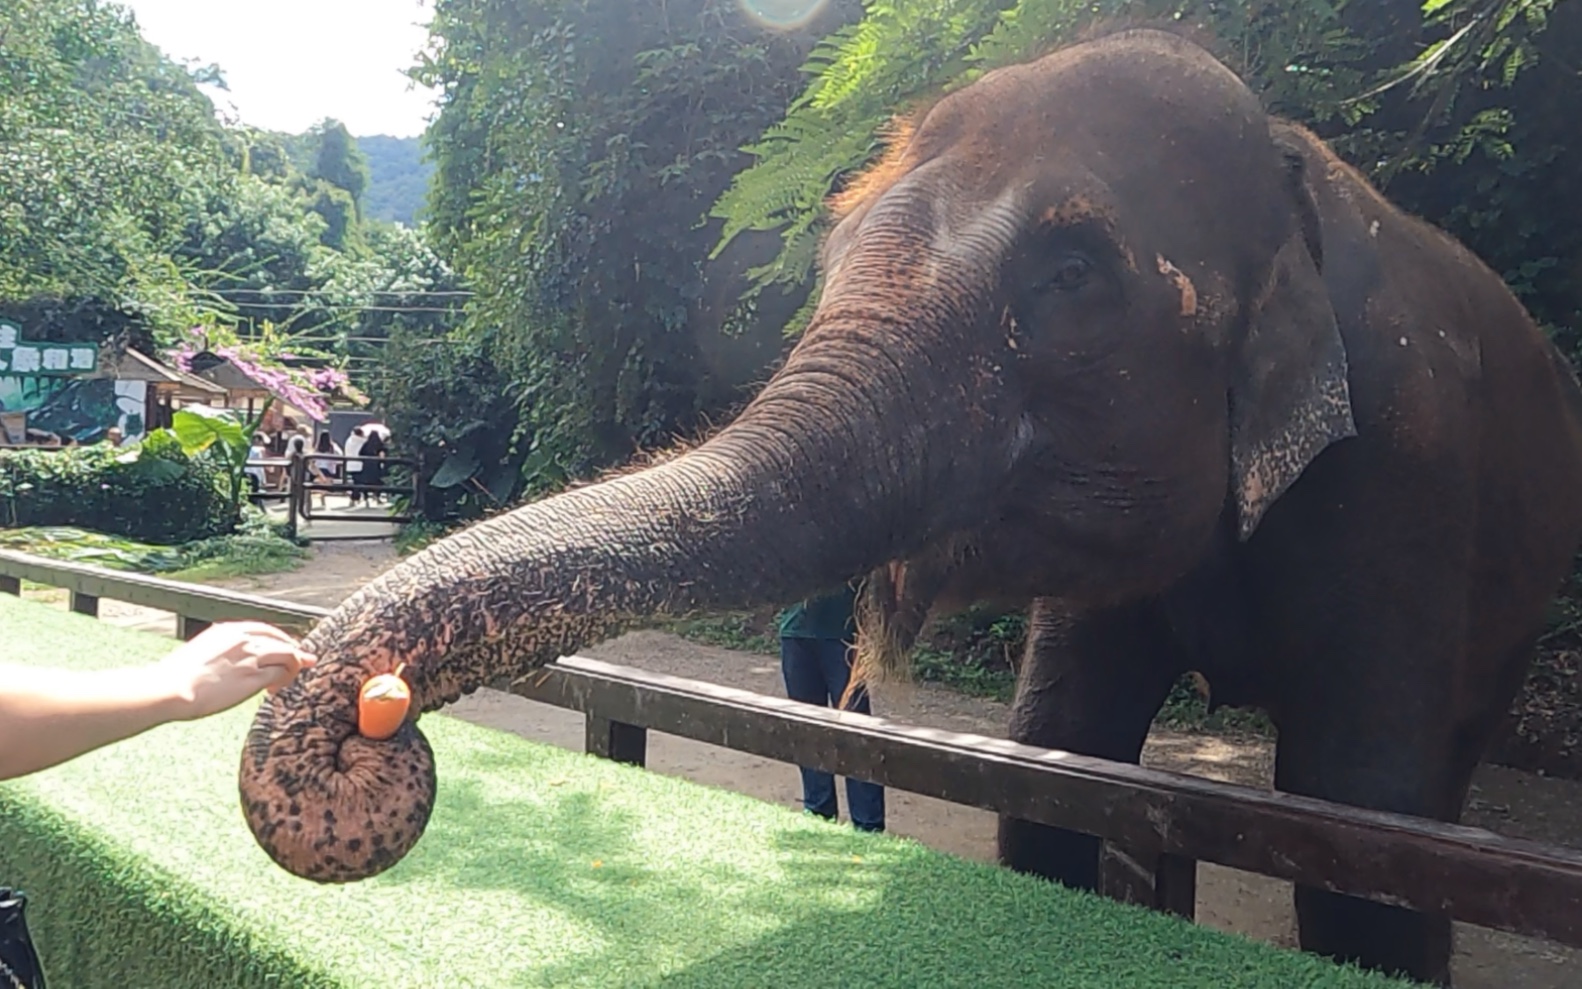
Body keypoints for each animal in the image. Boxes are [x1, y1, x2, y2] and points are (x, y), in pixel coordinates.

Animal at [239, 26, 1582, 986]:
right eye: (833, 255)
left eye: (1073, 271)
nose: (371, 721)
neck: (1294, 168)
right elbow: (1054, 763)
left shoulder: (1410, 472)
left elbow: (1366, 825)